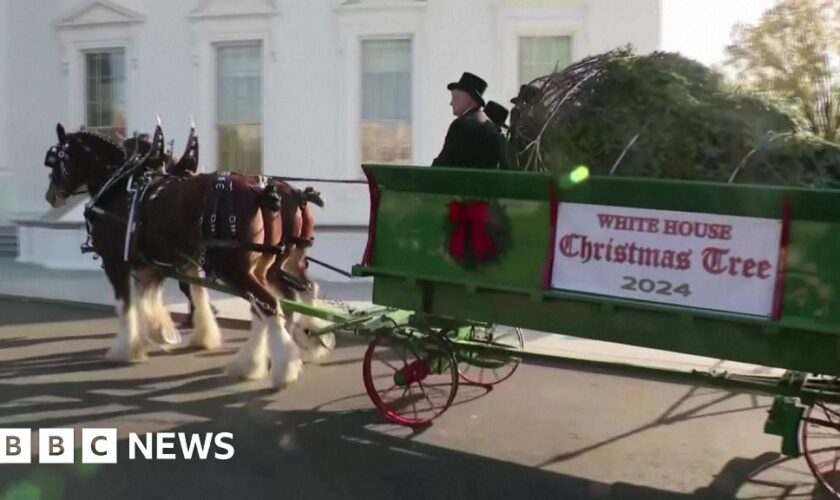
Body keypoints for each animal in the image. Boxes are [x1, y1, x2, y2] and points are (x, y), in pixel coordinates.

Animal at [44, 123, 328, 388]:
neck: (121, 187)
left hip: (235, 268)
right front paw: (167, 332)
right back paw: (260, 359)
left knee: (269, 304)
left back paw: (283, 368)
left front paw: (127, 347)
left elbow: (127, 304)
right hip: (266, 266)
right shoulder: (160, 263)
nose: (50, 196)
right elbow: (167, 296)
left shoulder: (116, 261)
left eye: (56, 159)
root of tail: (263, 192)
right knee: (286, 298)